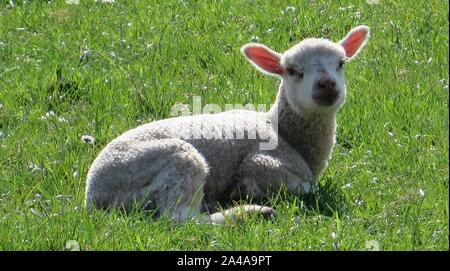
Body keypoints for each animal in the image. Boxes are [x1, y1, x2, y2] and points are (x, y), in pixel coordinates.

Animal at [84, 25, 370, 225]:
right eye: (292, 71)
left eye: (341, 64)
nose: (327, 84)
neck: (284, 132)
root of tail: (94, 195)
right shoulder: (262, 162)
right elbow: (304, 188)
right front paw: (244, 194)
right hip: (175, 161)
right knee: (179, 218)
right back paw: (250, 212)